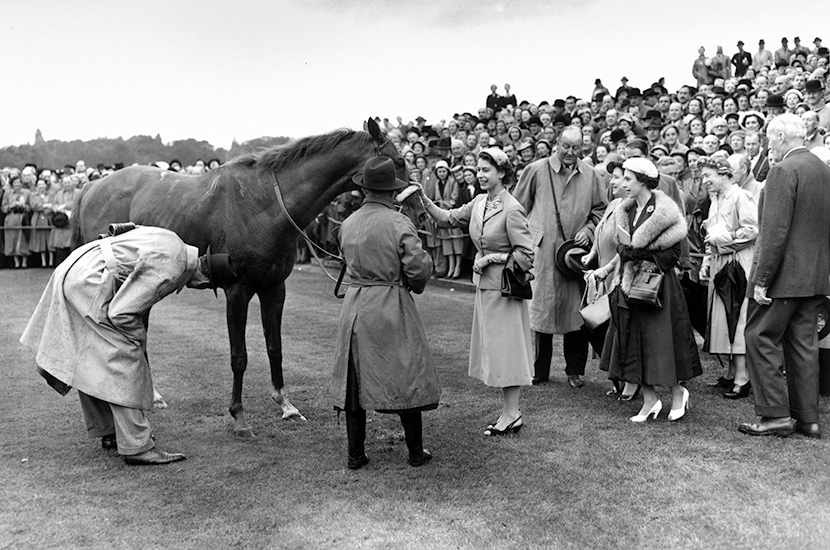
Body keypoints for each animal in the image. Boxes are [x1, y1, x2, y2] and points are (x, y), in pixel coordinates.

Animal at [73, 119, 412, 436]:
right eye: (399, 161)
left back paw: (150, 395)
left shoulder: (274, 288)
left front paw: (286, 406)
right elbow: (240, 356)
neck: (265, 205)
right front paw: (239, 416)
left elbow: (275, 347)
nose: (418, 211)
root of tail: (91, 187)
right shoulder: (238, 291)